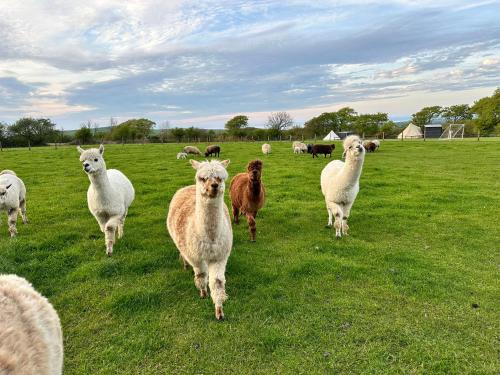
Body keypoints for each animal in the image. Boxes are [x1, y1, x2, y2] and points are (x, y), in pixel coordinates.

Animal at [166, 160, 232, 322]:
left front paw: (219, 311)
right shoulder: (195, 256)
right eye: (202, 178)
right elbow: (201, 275)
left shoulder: (220, 256)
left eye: (220, 178)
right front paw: (203, 292)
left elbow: (217, 283)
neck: (210, 239)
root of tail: (187, 187)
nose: (214, 186)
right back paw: (185, 265)